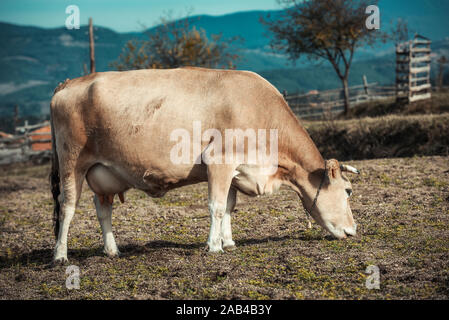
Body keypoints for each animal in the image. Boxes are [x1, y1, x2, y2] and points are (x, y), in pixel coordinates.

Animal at [49, 66, 358, 264]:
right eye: (348, 191)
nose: (353, 231)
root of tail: (70, 82)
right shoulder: (219, 161)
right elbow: (217, 207)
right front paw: (214, 246)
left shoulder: (235, 170)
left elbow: (230, 206)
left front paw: (228, 242)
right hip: (71, 162)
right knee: (67, 207)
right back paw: (60, 255)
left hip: (104, 174)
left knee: (103, 209)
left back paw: (112, 250)